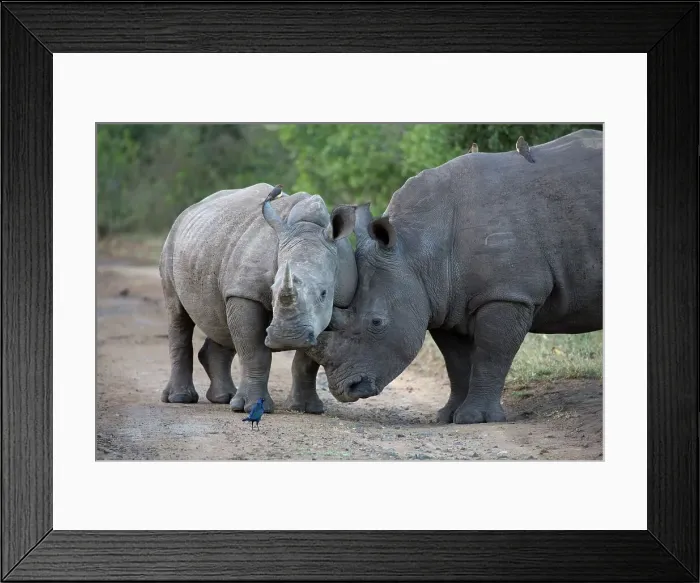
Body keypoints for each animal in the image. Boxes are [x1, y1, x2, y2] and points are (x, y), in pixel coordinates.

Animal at [159, 183, 357, 413]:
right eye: (272, 290)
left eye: (324, 293)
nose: (287, 336)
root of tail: (189, 210)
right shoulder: (245, 293)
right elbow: (254, 352)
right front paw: (249, 406)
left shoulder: (339, 303)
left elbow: (308, 360)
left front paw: (307, 408)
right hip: (173, 241)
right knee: (178, 314)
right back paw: (180, 398)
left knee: (221, 321)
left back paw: (223, 397)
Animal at [307, 129, 603, 424]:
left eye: (377, 322)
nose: (346, 389)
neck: (416, 249)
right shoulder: (443, 301)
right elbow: (455, 362)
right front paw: (448, 417)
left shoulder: (508, 293)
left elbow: (491, 353)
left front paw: (476, 418)